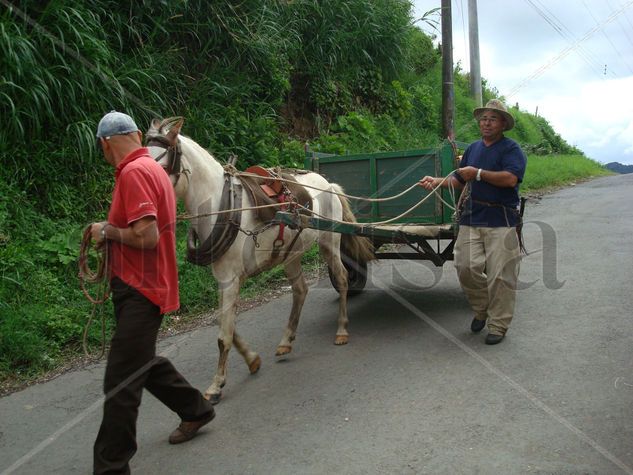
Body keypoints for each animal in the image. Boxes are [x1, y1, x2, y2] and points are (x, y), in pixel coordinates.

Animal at [146, 117, 372, 404]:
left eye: (162, 163)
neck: (224, 205)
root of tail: (327, 183)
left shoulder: (230, 278)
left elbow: (223, 335)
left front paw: (216, 385)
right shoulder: (223, 278)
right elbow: (224, 323)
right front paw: (252, 360)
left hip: (329, 243)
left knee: (342, 279)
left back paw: (342, 330)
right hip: (291, 252)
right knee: (300, 289)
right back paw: (286, 340)